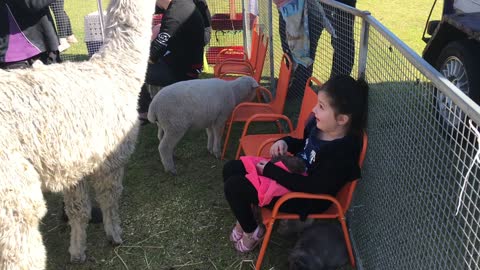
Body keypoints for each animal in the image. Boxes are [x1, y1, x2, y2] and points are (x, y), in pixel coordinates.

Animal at [0, 0, 154, 268]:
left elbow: (78, 210)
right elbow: (109, 197)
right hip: (12, 193)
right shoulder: (111, 158)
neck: (116, 73)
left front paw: (77, 250)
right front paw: (114, 234)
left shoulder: (75, 162)